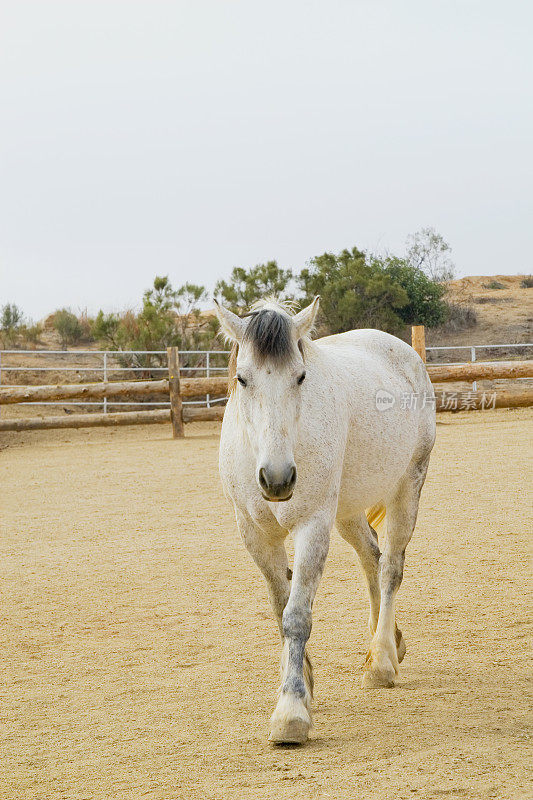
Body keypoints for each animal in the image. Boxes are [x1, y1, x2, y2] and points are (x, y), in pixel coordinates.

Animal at [214, 298, 434, 744]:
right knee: (372, 558)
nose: (277, 479)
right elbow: (279, 607)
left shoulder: (313, 526)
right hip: (347, 511)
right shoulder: (255, 534)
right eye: (242, 379)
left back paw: (381, 661)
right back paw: (389, 643)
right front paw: (304, 682)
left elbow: (297, 616)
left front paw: (291, 712)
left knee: (391, 568)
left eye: (300, 377)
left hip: (408, 486)